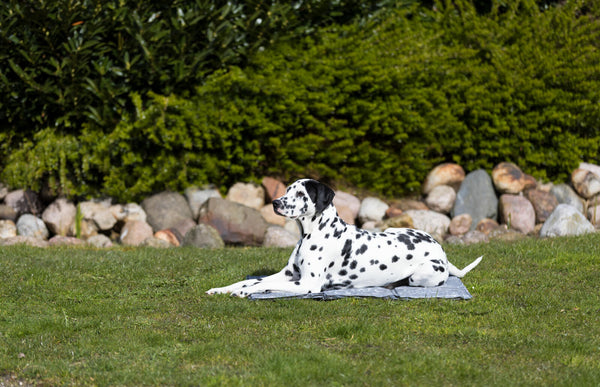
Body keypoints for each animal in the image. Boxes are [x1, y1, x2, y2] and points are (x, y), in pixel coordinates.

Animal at [206, 180, 482, 298]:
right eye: (287, 190)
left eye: (300, 194)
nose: (275, 203)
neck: (314, 232)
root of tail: (441, 250)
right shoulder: (288, 275)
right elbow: (247, 281)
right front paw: (221, 289)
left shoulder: (306, 284)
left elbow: (260, 285)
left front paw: (245, 292)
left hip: (421, 275)